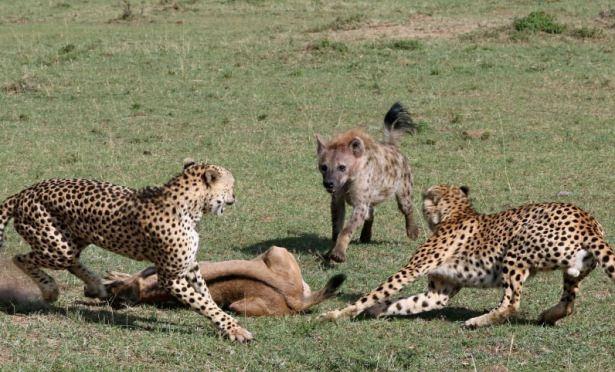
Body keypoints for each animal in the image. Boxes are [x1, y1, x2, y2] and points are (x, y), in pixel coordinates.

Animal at [0, 158, 253, 342]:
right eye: (231, 185)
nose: (234, 196)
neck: (192, 205)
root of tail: (25, 192)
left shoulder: (190, 266)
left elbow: (206, 296)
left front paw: (224, 326)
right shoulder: (171, 277)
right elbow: (203, 302)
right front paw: (235, 330)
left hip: (72, 240)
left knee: (72, 261)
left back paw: (96, 285)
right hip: (57, 247)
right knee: (20, 257)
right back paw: (51, 290)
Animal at [316, 101, 422, 264]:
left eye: (342, 167)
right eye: (324, 167)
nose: (329, 183)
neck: (348, 181)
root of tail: (392, 146)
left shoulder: (360, 202)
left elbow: (347, 229)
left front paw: (338, 254)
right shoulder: (337, 199)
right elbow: (336, 227)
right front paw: (329, 252)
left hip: (404, 185)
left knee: (407, 207)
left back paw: (413, 232)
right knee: (370, 212)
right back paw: (365, 236)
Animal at [322, 185, 615, 326]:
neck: (456, 212)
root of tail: (588, 220)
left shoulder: (412, 269)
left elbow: (376, 292)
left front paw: (334, 314)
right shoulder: (438, 293)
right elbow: (405, 303)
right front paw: (376, 310)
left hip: (516, 248)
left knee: (511, 303)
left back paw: (476, 322)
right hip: (574, 270)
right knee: (568, 302)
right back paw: (547, 316)